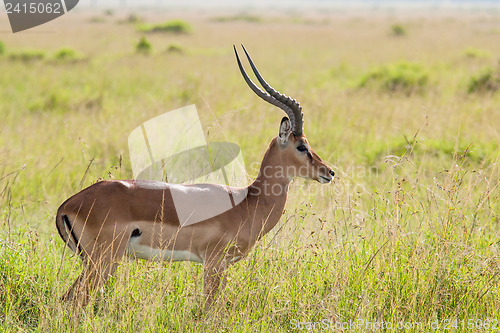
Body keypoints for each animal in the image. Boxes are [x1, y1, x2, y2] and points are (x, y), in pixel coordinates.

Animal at [56, 45, 334, 310]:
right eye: (302, 146)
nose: (329, 172)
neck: (248, 203)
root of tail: (67, 205)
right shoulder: (214, 263)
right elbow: (209, 310)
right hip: (103, 262)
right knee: (73, 302)